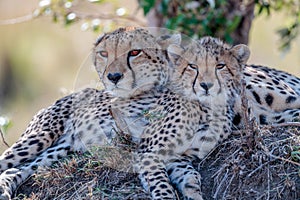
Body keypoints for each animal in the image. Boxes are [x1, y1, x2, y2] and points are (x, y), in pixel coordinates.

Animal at [0, 27, 182, 199]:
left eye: (135, 52)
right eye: (104, 54)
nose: (113, 76)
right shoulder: (145, 152)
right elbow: (161, 182)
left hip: (61, 148)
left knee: (16, 168)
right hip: (42, 135)